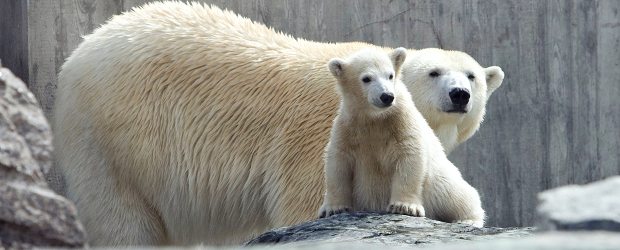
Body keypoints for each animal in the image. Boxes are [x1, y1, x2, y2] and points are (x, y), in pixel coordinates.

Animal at [54, 0, 504, 246]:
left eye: (472, 77)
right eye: (434, 72)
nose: (459, 95)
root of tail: (81, 51)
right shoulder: (320, 135)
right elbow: (306, 202)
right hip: (111, 138)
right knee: (123, 220)